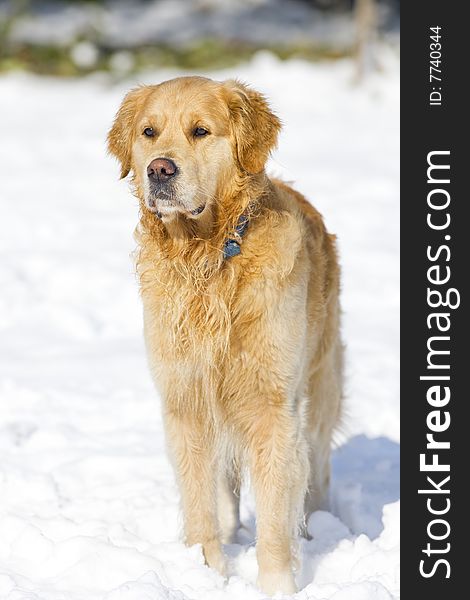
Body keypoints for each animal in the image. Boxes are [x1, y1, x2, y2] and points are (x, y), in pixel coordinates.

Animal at [107, 76, 342, 596]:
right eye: (149, 132)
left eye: (201, 131)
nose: (159, 169)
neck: (208, 256)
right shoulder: (186, 400)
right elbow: (200, 503)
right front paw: (205, 571)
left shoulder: (273, 405)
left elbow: (275, 516)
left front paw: (277, 585)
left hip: (319, 389)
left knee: (316, 469)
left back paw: (320, 528)